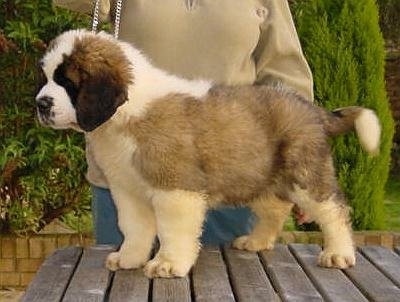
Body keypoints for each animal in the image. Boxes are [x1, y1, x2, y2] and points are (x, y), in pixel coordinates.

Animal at [35, 28, 382, 278]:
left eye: (69, 83)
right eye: (48, 78)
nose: (40, 104)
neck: (125, 112)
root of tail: (311, 109)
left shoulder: (175, 187)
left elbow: (172, 230)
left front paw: (168, 263)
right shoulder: (127, 189)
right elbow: (134, 227)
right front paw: (129, 257)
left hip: (305, 173)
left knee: (334, 210)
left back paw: (338, 253)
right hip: (258, 175)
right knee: (275, 208)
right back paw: (257, 241)